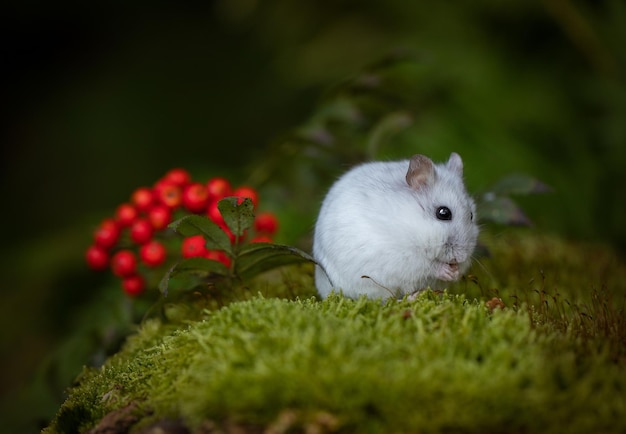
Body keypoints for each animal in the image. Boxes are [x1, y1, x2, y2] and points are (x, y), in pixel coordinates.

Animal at [312, 154, 478, 300]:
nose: (461, 258)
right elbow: (428, 266)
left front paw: (456, 272)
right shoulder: (403, 257)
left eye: (471, 215)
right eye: (443, 213)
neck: (412, 225)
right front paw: (447, 271)